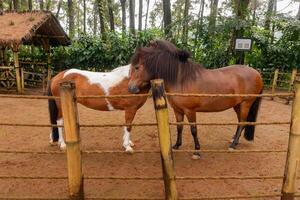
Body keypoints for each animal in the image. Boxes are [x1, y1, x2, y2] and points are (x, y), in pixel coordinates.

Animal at [127, 39, 264, 159]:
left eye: (137, 67)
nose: (130, 88)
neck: (181, 79)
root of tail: (257, 73)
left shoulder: (190, 111)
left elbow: (193, 130)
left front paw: (197, 151)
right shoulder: (178, 110)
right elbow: (179, 127)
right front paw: (177, 145)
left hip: (246, 103)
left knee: (242, 122)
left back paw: (233, 144)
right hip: (237, 105)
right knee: (241, 121)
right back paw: (234, 139)